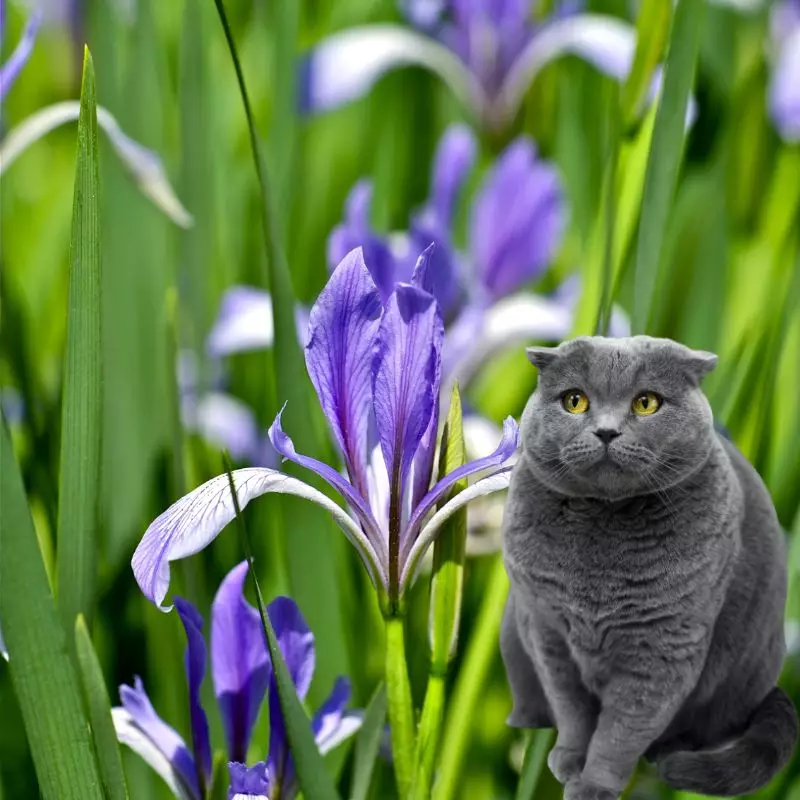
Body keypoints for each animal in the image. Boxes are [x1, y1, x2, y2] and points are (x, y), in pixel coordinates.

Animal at [504, 338, 796, 800]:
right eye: (574, 400)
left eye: (646, 403)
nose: (606, 431)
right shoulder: (547, 633)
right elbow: (572, 710)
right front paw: (568, 758)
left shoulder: (663, 648)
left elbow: (621, 731)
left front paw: (593, 785)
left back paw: (669, 754)